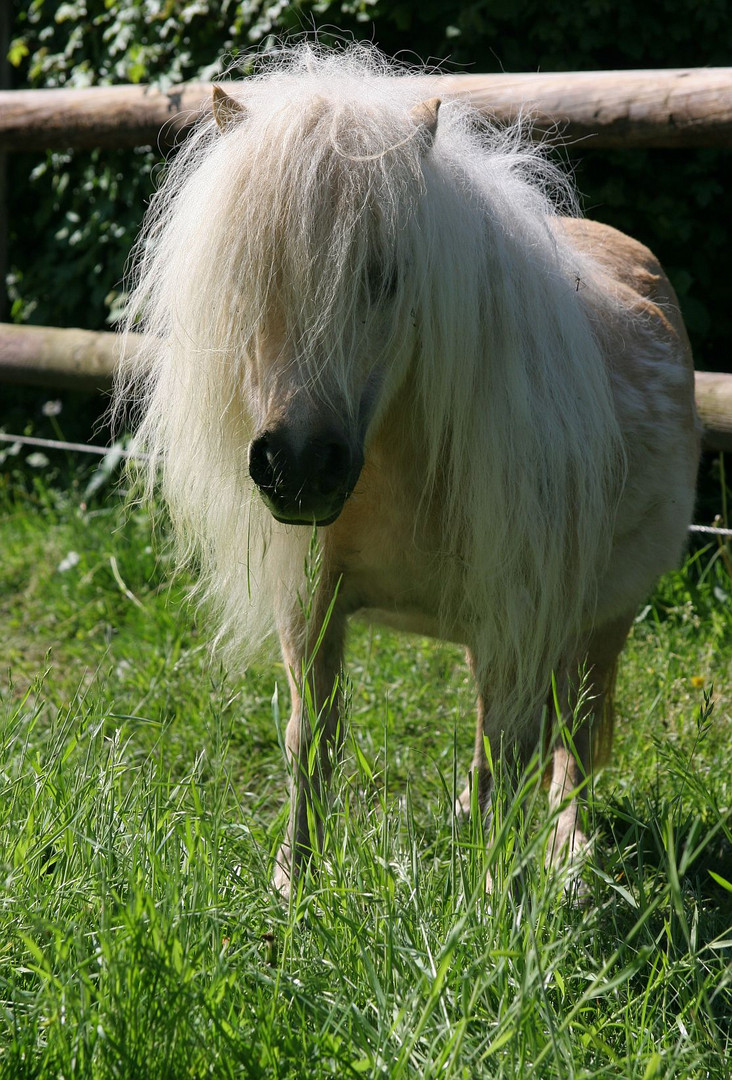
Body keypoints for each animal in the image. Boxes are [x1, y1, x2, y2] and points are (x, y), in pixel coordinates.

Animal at [117, 46, 703, 894]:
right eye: (249, 276)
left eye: (387, 275)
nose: (299, 466)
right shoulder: (315, 608)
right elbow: (312, 739)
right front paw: (295, 884)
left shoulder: (518, 618)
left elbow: (509, 761)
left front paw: (494, 900)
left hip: (601, 621)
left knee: (575, 739)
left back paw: (567, 857)